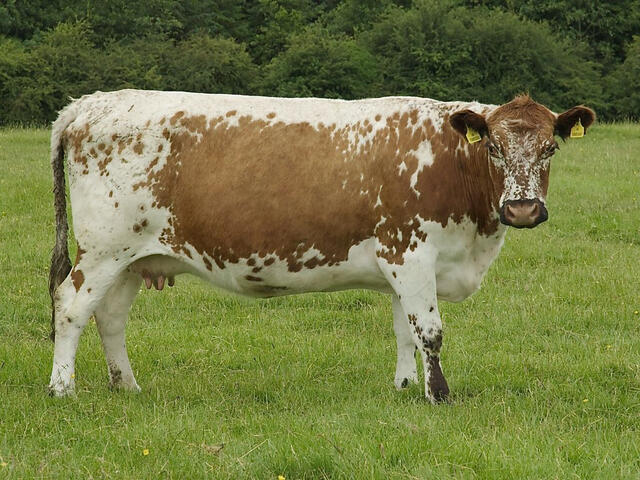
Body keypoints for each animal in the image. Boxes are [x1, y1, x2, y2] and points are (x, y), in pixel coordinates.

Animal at [47, 90, 595, 402]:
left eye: (550, 147)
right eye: (495, 148)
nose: (522, 210)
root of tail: (87, 103)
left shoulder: (400, 265)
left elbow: (404, 331)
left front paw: (403, 389)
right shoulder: (412, 253)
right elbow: (430, 332)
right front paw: (439, 396)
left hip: (133, 259)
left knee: (110, 316)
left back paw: (127, 385)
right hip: (103, 250)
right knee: (71, 306)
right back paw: (62, 388)